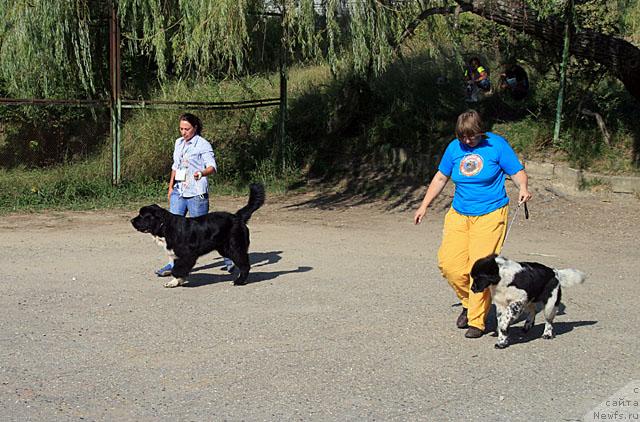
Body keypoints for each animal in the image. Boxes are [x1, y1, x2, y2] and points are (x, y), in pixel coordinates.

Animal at [131, 184, 264, 286]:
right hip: (225, 248)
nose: (131, 221)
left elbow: (177, 269)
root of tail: (237, 217)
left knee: (245, 265)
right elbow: (178, 268)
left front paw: (176, 279)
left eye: (142, 215)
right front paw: (174, 282)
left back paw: (238, 281)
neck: (165, 227)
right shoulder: (178, 255)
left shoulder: (188, 255)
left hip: (235, 247)